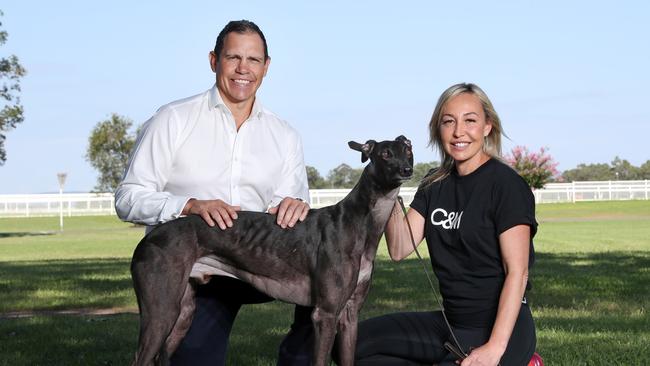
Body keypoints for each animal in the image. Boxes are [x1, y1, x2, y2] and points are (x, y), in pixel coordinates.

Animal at [130, 136, 412, 364]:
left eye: (408, 150)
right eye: (385, 153)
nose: (407, 170)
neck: (359, 222)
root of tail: (149, 237)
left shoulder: (350, 315)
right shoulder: (326, 313)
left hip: (183, 312)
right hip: (161, 310)